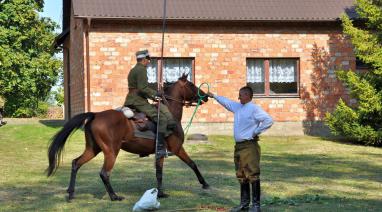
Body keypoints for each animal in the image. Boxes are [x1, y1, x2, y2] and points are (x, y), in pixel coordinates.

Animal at [47, 74, 212, 200]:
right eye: (191, 84)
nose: (206, 97)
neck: (170, 112)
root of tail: (95, 115)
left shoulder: (160, 154)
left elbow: (159, 173)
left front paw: (160, 193)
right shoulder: (176, 149)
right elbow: (192, 164)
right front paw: (204, 183)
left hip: (93, 149)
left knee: (76, 163)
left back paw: (71, 193)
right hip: (111, 151)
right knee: (104, 173)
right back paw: (114, 196)